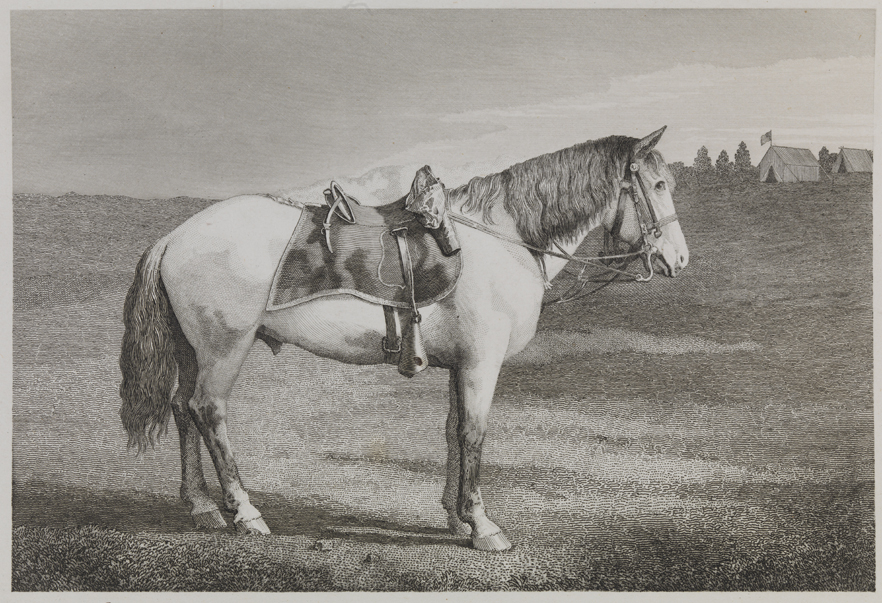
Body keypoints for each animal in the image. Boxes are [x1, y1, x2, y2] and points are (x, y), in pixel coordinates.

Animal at [119, 126, 689, 552]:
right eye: (658, 185)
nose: (678, 260)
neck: (499, 237)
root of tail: (175, 238)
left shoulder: (462, 364)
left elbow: (454, 432)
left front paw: (456, 519)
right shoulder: (482, 363)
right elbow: (474, 435)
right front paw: (483, 526)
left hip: (193, 351)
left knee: (182, 409)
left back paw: (201, 507)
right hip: (225, 348)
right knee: (208, 411)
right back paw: (245, 512)